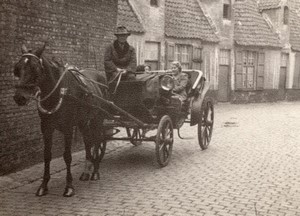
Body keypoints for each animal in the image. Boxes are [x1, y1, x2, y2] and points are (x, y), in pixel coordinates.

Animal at [13, 43, 109, 197]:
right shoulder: (46, 128)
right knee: (88, 142)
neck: (59, 91)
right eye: (17, 68)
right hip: (83, 122)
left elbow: (67, 156)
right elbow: (47, 155)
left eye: (35, 68)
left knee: (97, 141)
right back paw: (86, 172)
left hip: (97, 120)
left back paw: (95, 172)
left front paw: (69, 186)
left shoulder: (68, 128)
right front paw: (43, 186)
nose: (19, 97)